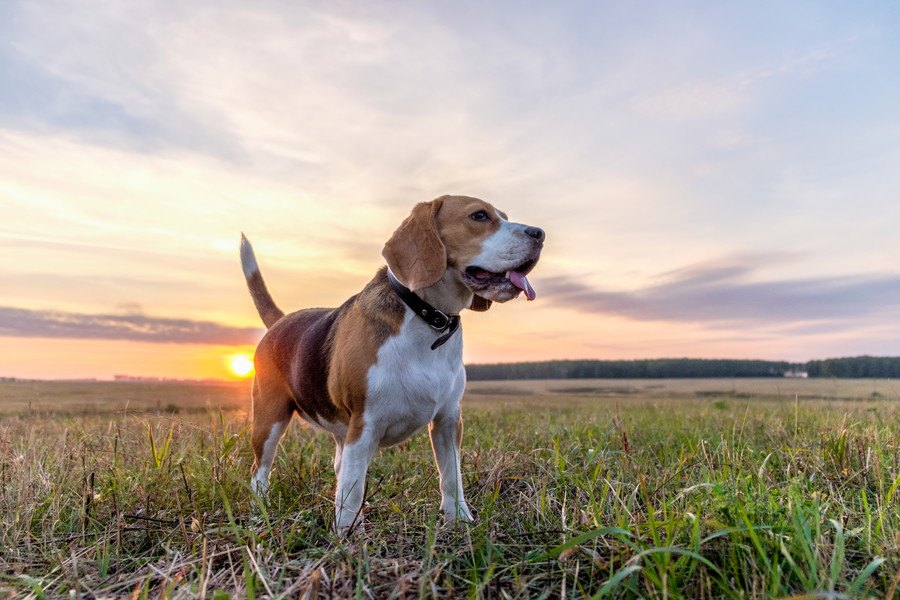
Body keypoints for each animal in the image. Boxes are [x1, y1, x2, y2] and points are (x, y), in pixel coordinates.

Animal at [239, 193, 544, 536]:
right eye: (479, 216)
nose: (539, 234)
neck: (428, 319)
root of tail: (280, 321)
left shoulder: (448, 420)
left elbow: (452, 477)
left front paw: (460, 521)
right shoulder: (364, 425)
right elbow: (352, 490)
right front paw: (346, 537)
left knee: (339, 467)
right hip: (269, 420)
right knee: (260, 472)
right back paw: (260, 512)